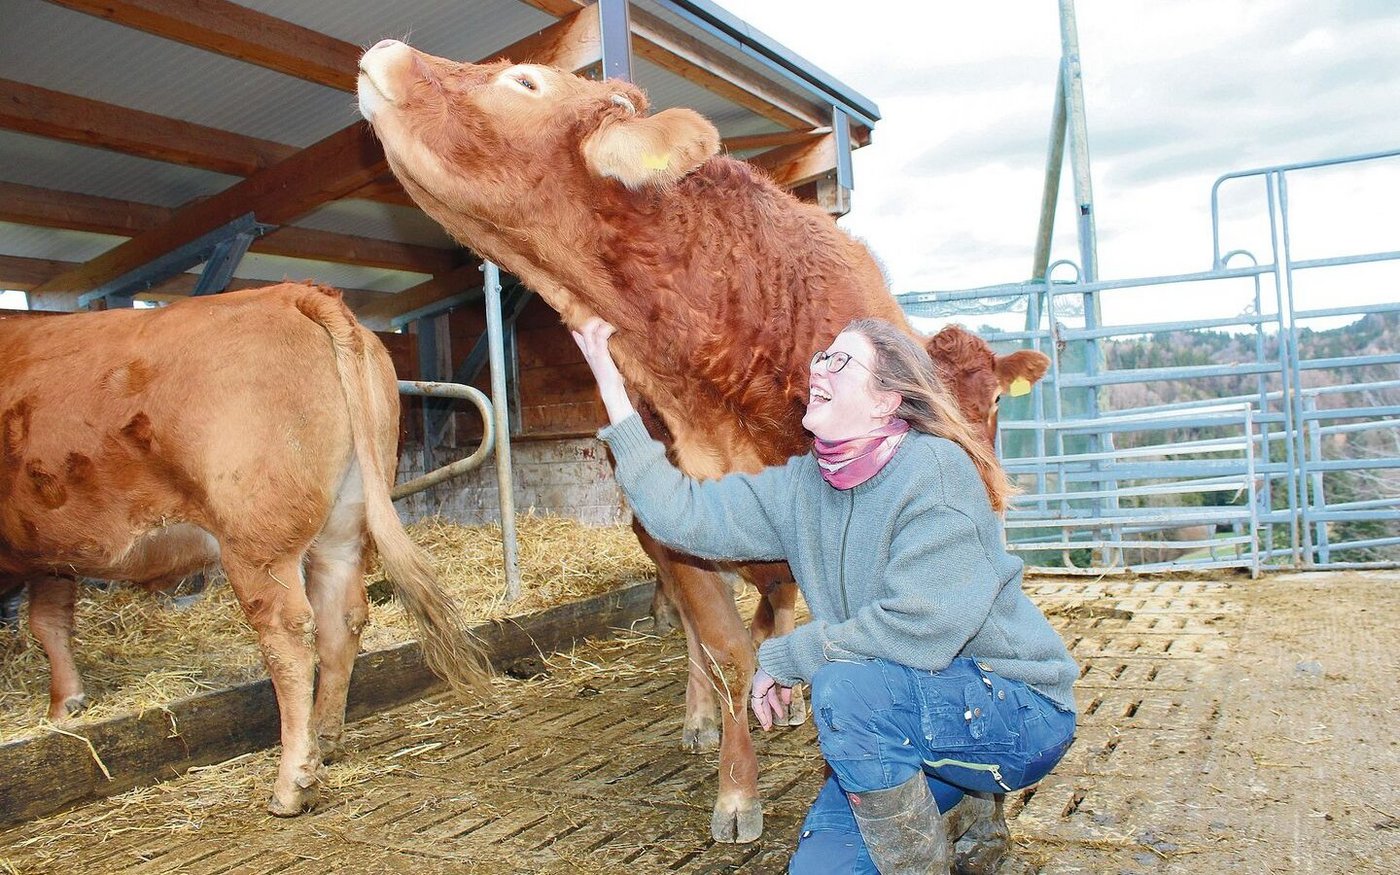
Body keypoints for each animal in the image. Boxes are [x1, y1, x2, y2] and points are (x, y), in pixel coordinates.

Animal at [0, 283, 489, 816]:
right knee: (342, 617)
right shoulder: (50, 556)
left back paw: (293, 782)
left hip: (257, 541)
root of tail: (292, 293)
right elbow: (50, 620)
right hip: (344, 518)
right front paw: (65, 704)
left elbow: (44, 623)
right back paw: (326, 740)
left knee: (288, 637)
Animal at [356, 40, 1049, 842]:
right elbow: (727, 652)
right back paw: (701, 718)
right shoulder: (685, 533)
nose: (384, 53)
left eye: (523, 82)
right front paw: (736, 789)